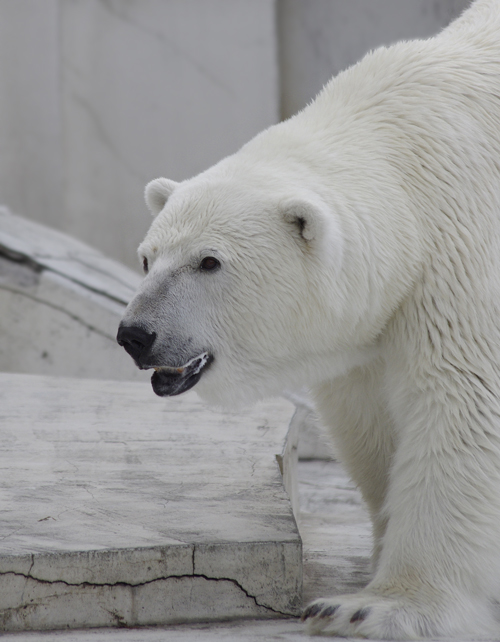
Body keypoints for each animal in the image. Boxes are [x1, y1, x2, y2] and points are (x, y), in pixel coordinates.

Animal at [118, 1, 500, 636]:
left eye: (209, 261)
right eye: (147, 257)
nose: (135, 334)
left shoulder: (464, 261)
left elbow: (463, 406)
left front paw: (372, 607)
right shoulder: (374, 324)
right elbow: (367, 421)